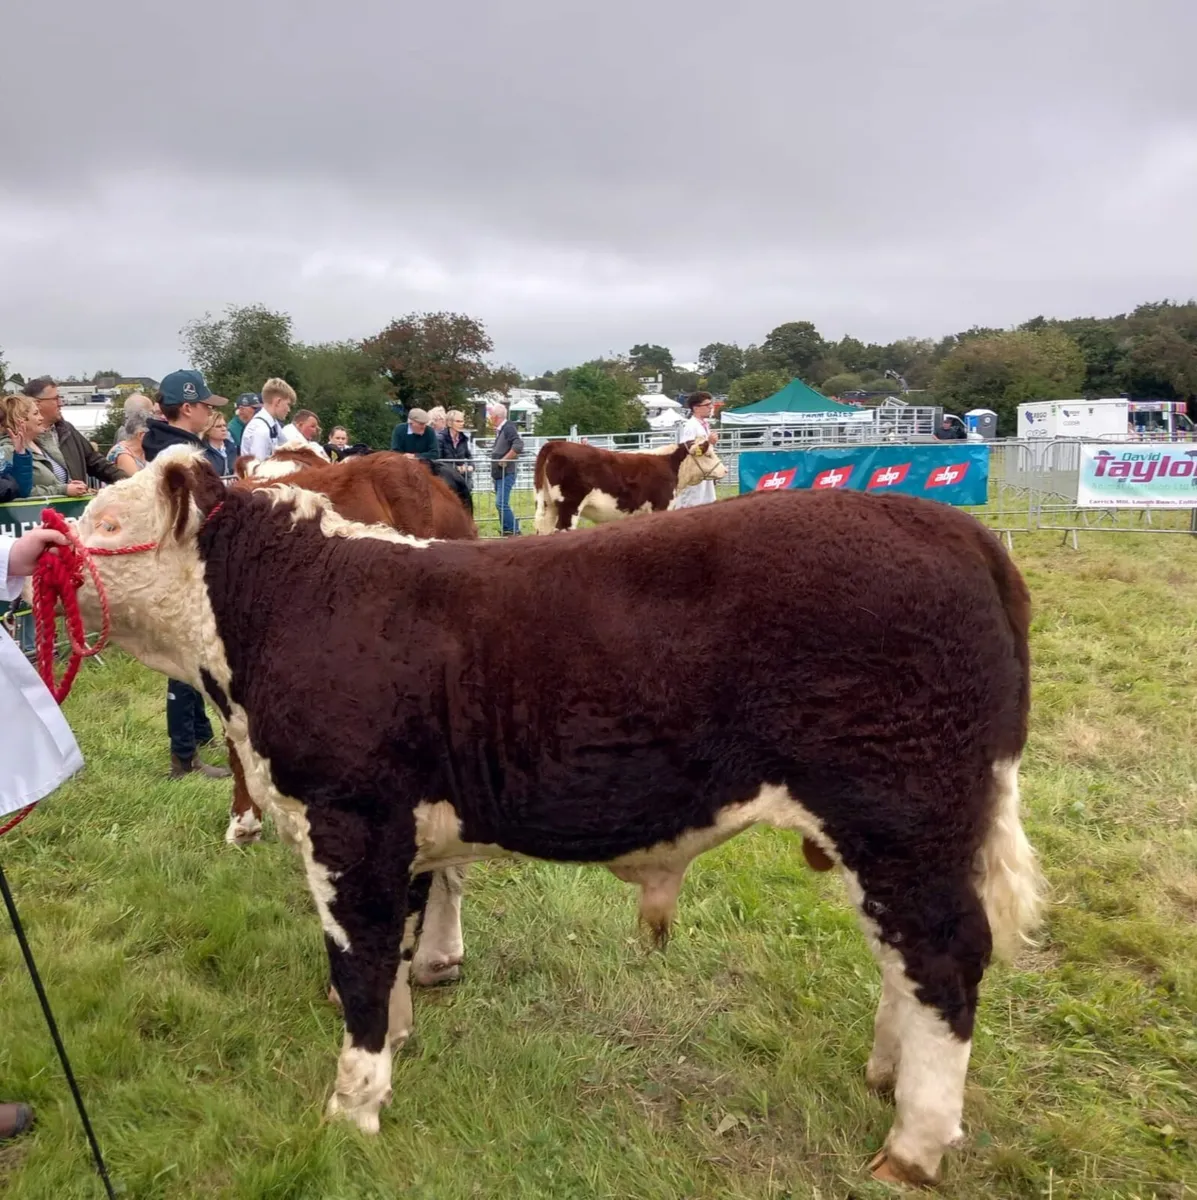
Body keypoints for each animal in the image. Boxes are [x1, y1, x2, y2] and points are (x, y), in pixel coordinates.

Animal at [533, 439, 727, 533]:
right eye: (709, 455)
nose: (725, 470)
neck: (669, 463)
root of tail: (555, 443)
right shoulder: (661, 506)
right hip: (570, 504)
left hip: (549, 505)